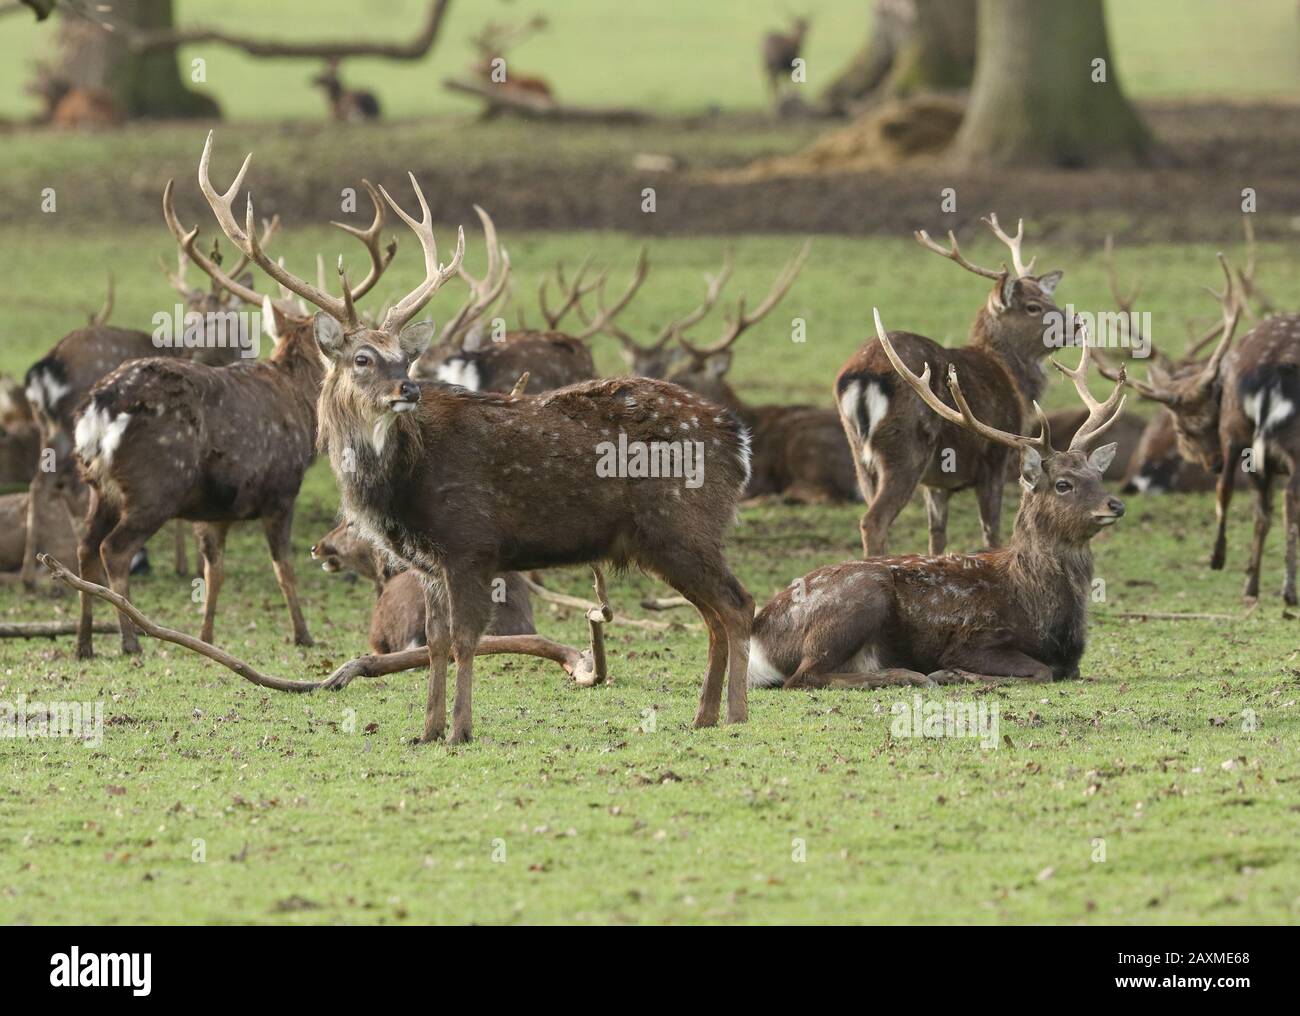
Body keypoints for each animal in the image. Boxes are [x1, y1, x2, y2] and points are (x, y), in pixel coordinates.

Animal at [72, 156, 396, 658]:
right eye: (361, 353)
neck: (298, 403)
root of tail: (100, 408)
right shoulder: (281, 489)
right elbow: (283, 566)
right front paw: (303, 634)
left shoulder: (218, 508)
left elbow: (214, 572)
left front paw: (206, 638)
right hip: (154, 484)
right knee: (114, 549)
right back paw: (130, 640)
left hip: (98, 487)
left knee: (85, 547)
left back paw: (85, 643)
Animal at [197, 134, 755, 743]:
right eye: (362, 357)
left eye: (405, 355)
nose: (409, 388)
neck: (399, 485)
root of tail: (740, 441)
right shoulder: (428, 563)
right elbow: (439, 642)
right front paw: (427, 730)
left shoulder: (470, 543)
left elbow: (466, 640)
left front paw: (461, 729)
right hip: (667, 539)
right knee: (714, 614)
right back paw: (705, 716)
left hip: (684, 525)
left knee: (737, 604)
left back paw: (736, 714)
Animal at [748, 308, 1127, 690]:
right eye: (1063, 484)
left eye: (1097, 476)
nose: (1115, 505)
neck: (1043, 613)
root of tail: (760, 639)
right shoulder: (974, 636)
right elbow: (1040, 670)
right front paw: (952, 672)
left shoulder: (1073, 662)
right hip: (860, 596)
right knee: (804, 675)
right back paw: (908, 674)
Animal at [836, 215, 1078, 557]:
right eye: (1033, 306)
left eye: (1050, 298)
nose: (1077, 323)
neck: (1011, 375)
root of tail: (862, 374)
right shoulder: (995, 457)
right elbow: (992, 532)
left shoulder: (938, 483)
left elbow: (937, 537)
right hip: (905, 447)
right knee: (873, 520)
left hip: (860, 453)